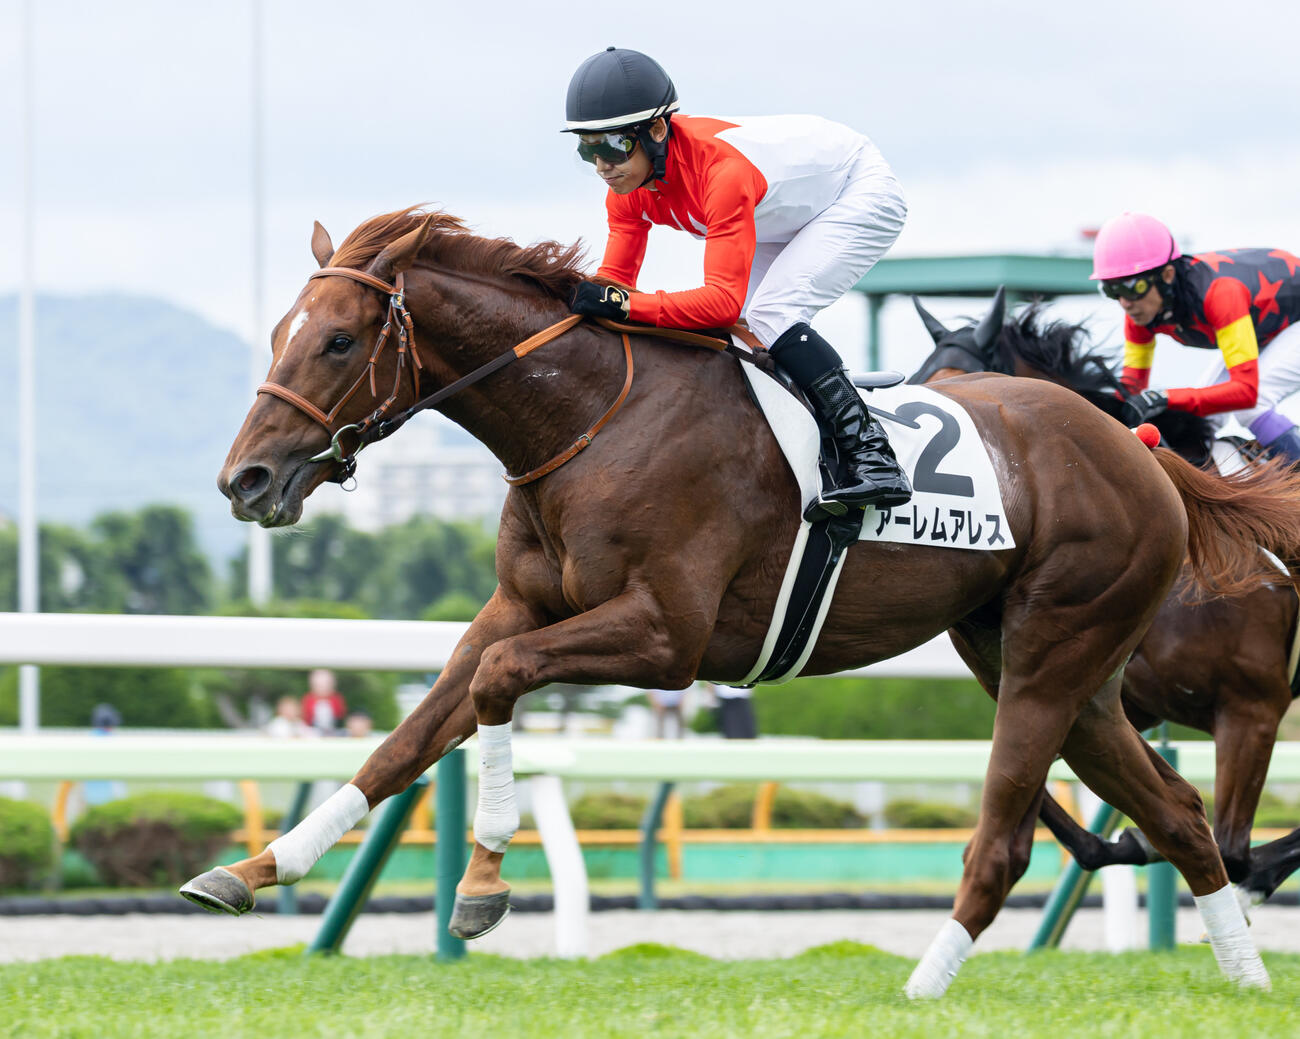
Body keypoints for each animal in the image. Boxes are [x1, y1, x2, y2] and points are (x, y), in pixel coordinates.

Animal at [912, 293, 1300, 910]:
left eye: (957, 386)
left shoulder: (1253, 709)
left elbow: (1235, 850)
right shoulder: (1108, 699)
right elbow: (1077, 829)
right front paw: (1132, 841)